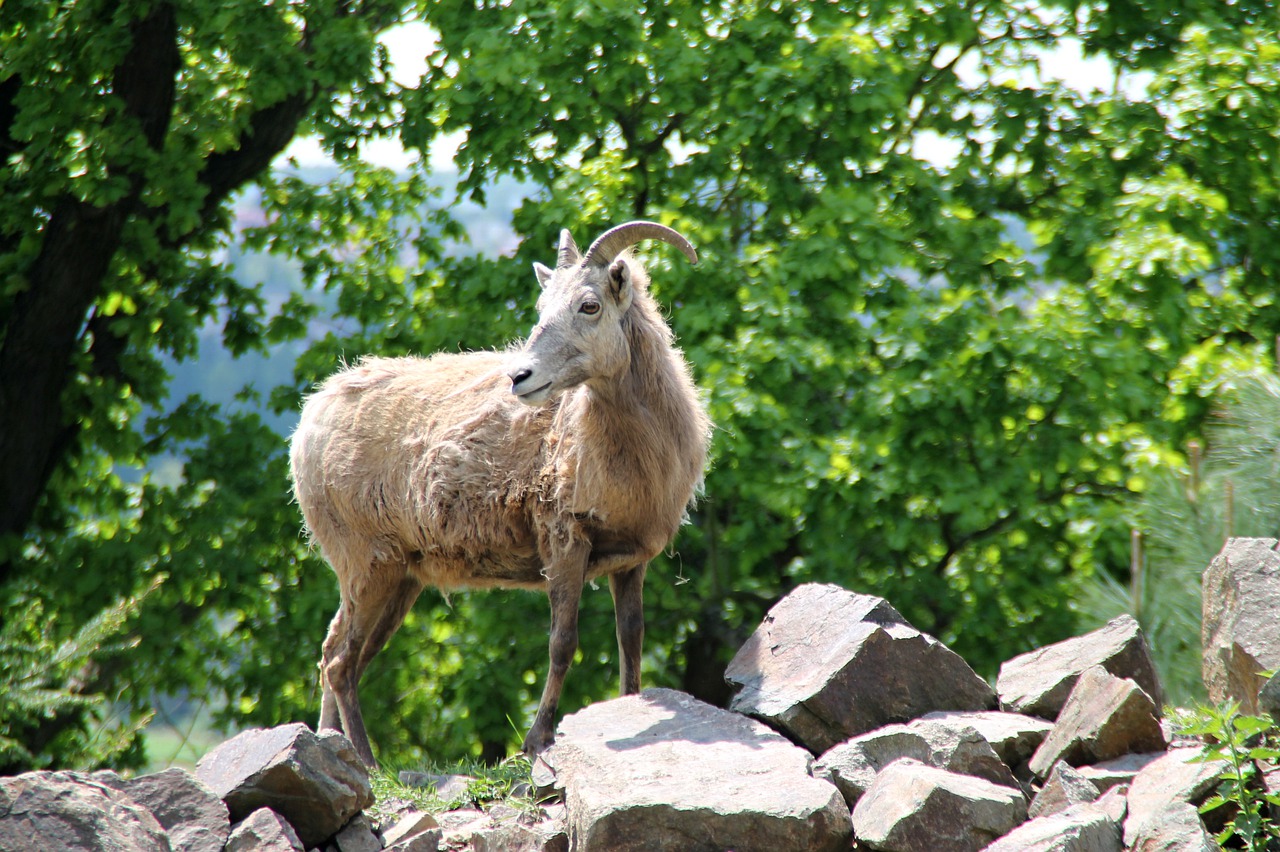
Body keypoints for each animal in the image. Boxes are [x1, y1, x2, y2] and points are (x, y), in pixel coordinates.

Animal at [289, 218, 711, 762]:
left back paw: (330, 745)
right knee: (342, 663)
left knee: (336, 652)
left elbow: (631, 640)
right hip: (368, 564)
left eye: (589, 305)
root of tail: (309, 424)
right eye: (541, 307)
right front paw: (535, 740)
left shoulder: (630, 561)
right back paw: (367, 761)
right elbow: (562, 642)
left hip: (396, 578)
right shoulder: (564, 542)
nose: (520, 377)